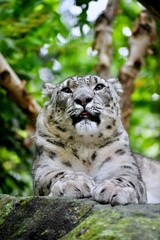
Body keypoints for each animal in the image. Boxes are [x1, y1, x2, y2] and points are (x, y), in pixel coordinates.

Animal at [32, 75, 160, 206]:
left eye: (99, 86)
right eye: (66, 90)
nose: (83, 99)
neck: (85, 145)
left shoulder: (123, 164)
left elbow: (127, 177)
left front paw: (115, 189)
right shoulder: (45, 165)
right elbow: (55, 173)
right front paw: (73, 183)